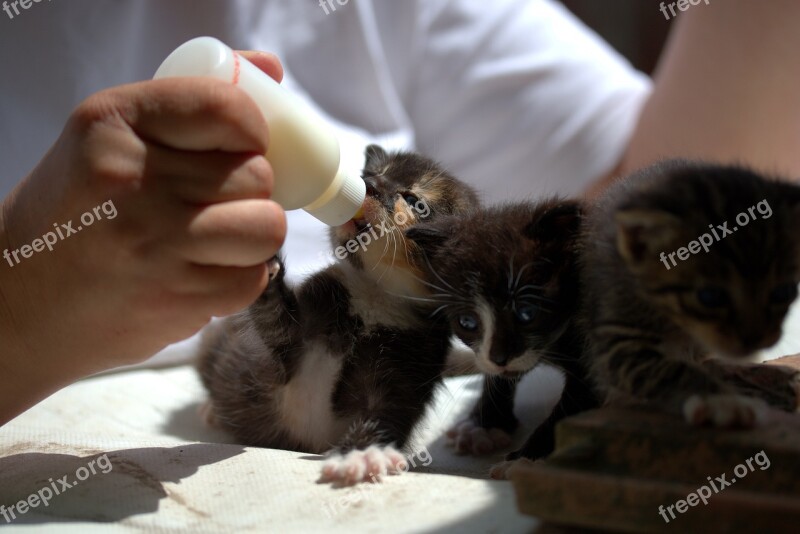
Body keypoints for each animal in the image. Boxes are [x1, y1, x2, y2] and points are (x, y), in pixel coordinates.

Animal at [197, 146, 478, 486]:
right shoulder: (297, 331)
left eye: (414, 201)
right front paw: (264, 259)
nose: (368, 183)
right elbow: (274, 322)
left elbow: (385, 414)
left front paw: (363, 453)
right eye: (372, 173)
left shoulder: (412, 367)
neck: (375, 295)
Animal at [406, 202, 592, 482]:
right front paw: (483, 426)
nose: (500, 357)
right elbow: (495, 375)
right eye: (467, 321)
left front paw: (526, 459)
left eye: (527, 313)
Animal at [580, 159, 800, 428]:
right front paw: (719, 400)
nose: (754, 339)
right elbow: (663, 368)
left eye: (784, 292)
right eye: (710, 297)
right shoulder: (618, 331)